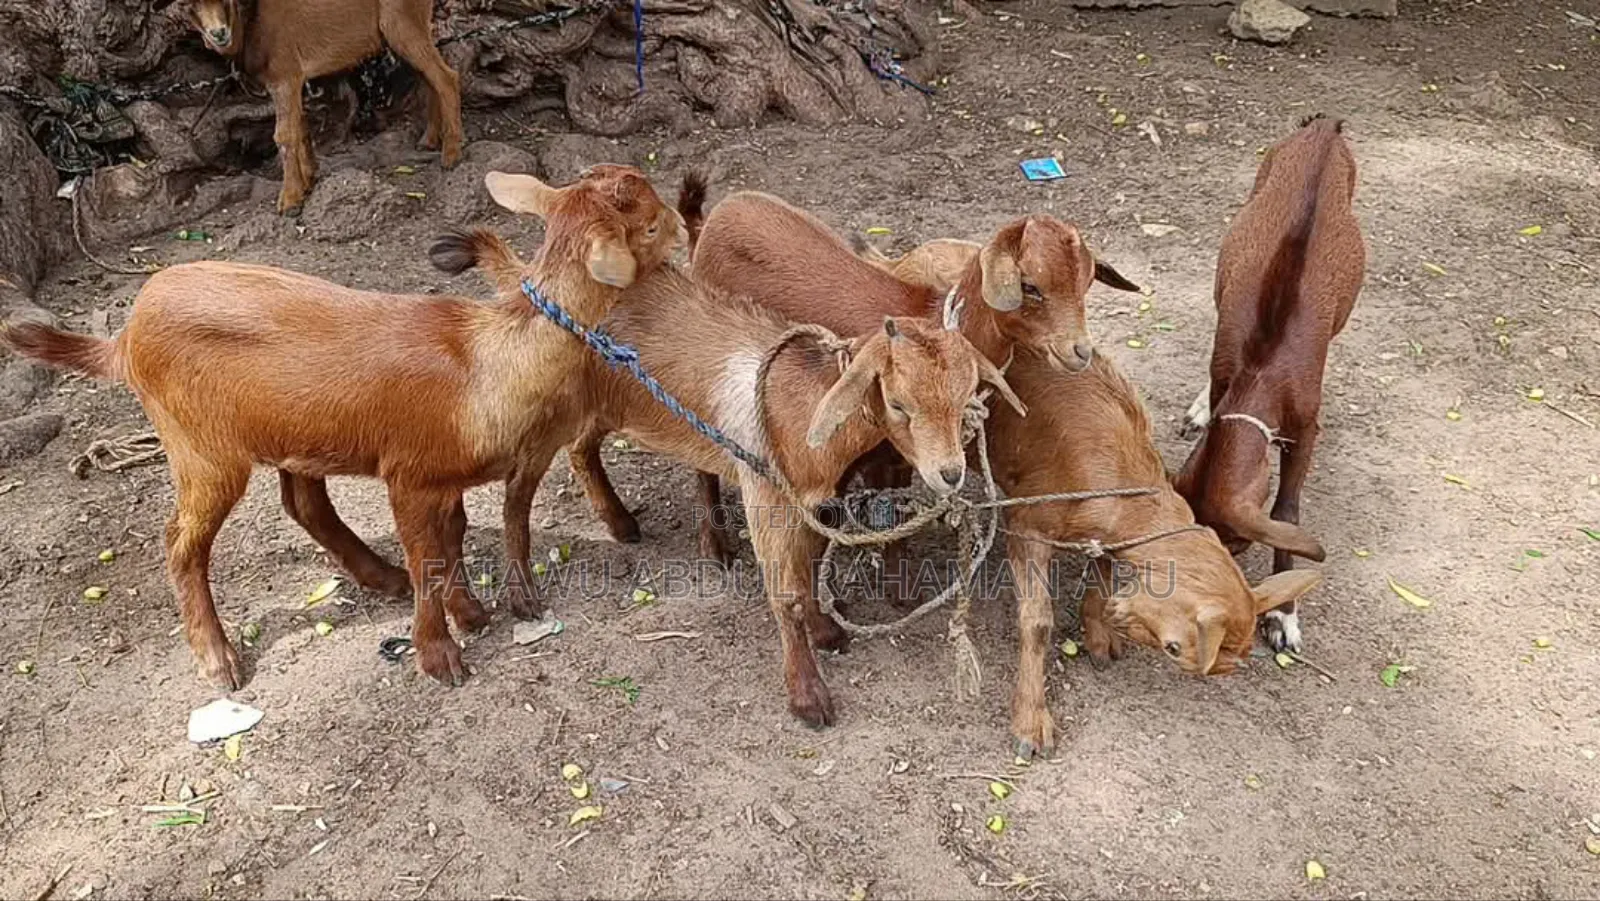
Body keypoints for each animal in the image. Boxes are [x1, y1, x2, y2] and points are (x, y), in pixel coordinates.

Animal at [1, 165, 684, 690]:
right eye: (650, 225)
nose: (682, 226)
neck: (486, 361)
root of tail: (124, 337)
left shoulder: (445, 477)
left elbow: (451, 542)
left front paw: (470, 614)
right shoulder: (409, 474)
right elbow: (429, 554)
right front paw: (441, 657)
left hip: (289, 431)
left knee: (302, 502)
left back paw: (379, 577)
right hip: (200, 445)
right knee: (181, 543)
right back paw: (218, 660)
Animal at [188, 0, 464, 212]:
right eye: (190, 4)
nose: (219, 34)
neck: (252, 20)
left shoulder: (284, 76)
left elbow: (284, 134)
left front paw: (290, 201)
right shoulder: (294, 81)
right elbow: (300, 126)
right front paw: (309, 179)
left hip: (404, 24)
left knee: (446, 78)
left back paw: (451, 156)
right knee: (430, 79)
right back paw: (429, 139)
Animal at [444, 233, 1024, 728]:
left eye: (967, 393)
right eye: (899, 404)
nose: (949, 472)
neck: (799, 404)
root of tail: (536, 282)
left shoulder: (812, 499)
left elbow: (810, 564)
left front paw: (826, 630)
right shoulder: (765, 494)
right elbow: (786, 591)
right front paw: (808, 696)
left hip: (605, 402)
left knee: (583, 450)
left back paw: (620, 521)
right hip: (552, 407)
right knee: (519, 490)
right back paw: (525, 593)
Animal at [567, 178, 1141, 571]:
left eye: (1088, 282)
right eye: (1030, 286)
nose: (1078, 351)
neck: (933, 317)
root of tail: (711, 220)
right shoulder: (880, 447)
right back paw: (715, 544)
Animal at [1172, 114, 1364, 654]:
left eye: (1236, 544)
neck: (1262, 368)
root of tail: (1322, 127)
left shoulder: (1305, 426)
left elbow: (1288, 509)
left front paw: (1284, 612)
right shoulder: (1225, 374)